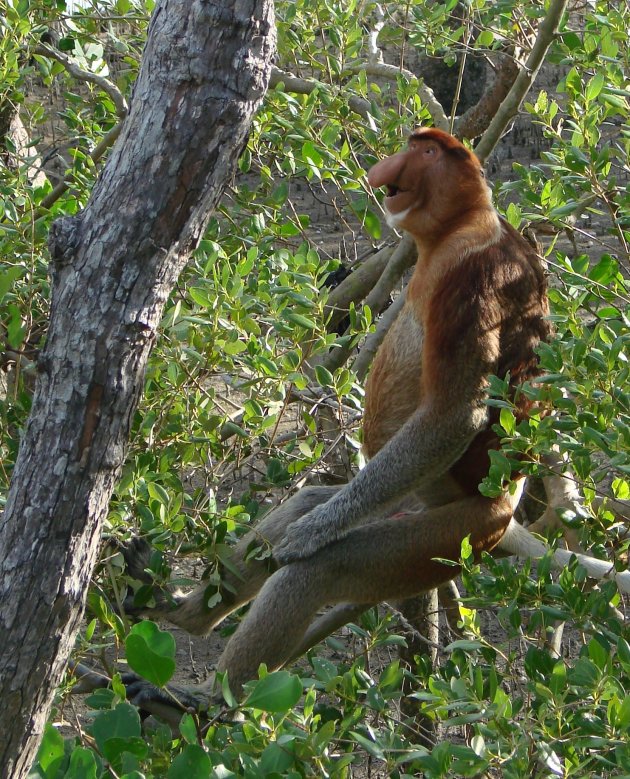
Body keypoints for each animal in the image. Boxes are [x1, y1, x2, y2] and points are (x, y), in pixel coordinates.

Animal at [115, 129, 630, 720]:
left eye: (425, 151)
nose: (387, 168)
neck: (457, 228)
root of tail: (506, 510)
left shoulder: (476, 274)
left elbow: (458, 412)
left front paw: (305, 539)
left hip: (450, 536)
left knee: (324, 569)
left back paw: (198, 701)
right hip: (413, 504)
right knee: (315, 498)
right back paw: (178, 611)